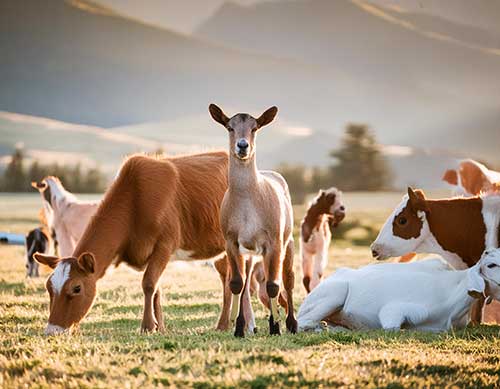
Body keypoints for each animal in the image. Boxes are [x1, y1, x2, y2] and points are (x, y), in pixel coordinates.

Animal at [35, 151, 230, 334]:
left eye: (76, 288)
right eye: (49, 287)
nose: (52, 330)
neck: (135, 202)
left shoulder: (164, 245)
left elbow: (149, 284)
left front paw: (148, 326)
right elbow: (156, 290)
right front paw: (160, 328)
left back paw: (226, 324)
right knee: (226, 277)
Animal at [208, 104, 296, 336]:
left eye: (255, 128)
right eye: (229, 127)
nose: (242, 145)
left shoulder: (274, 241)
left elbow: (273, 285)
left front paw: (276, 328)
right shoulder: (231, 241)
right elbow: (237, 283)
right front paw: (238, 329)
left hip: (288, 242)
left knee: (288, 279)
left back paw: (292, 323)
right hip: (249, 253)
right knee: (247, 282)